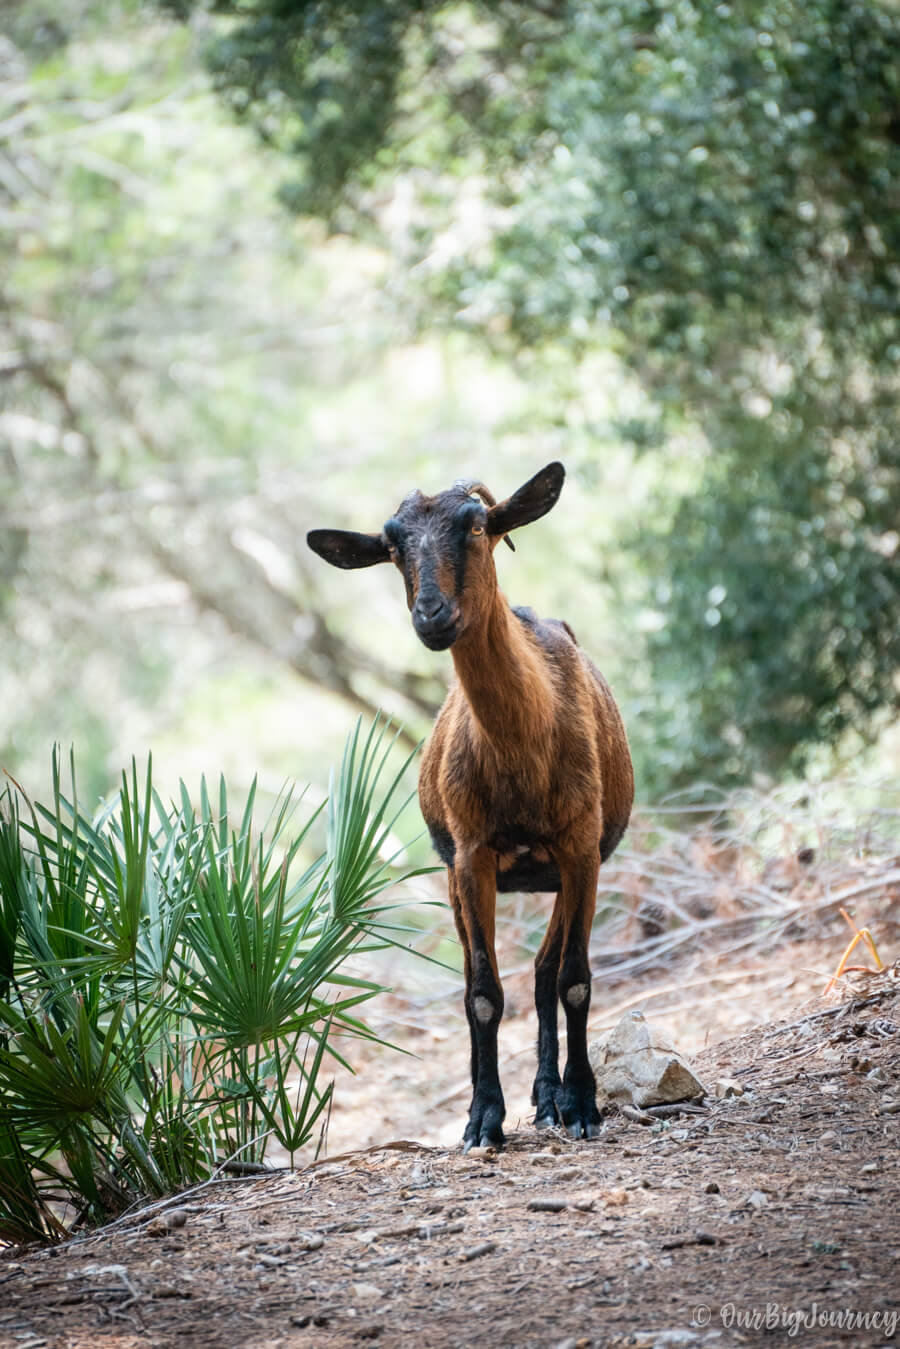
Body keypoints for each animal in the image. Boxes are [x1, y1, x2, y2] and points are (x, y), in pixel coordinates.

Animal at [310, 464, 634, 1149]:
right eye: (392, 545)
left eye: (479, 525)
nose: (432, 615)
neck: (524, 743)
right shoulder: (471, 856)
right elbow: (483, 992)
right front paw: (484, 1117)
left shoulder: (581, 847)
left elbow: (574, 980)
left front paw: (583, 1104)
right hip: (460, 877)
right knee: (481, 977)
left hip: (562, 871)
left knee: (543, 969)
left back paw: (552, 1097)